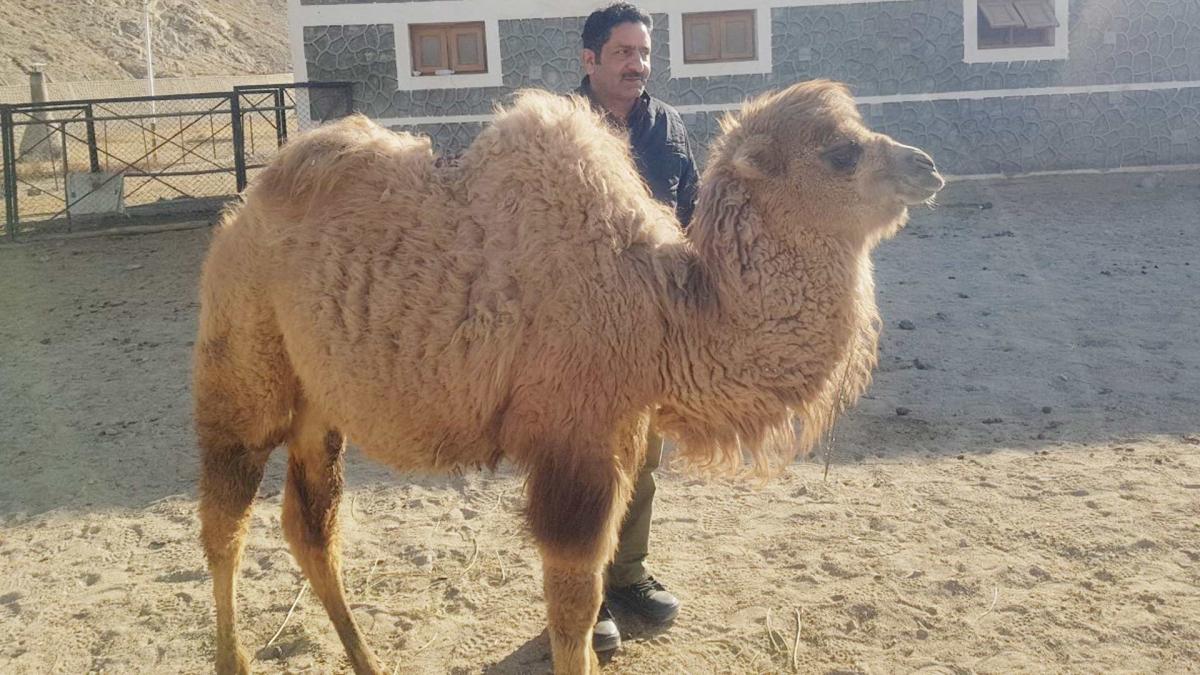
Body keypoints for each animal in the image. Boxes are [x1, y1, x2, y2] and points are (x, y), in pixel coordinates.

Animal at [193, 79, 944, 674]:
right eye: (841, 150)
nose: (928, 166)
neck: (658, 312)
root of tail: (240, 213)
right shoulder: (573, 439)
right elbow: (575, 603)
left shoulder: (618, 427)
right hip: (242, 360)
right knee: (226, 518)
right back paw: (234, 660)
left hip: (319, 402)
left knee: (311, 527)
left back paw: (368, 661)